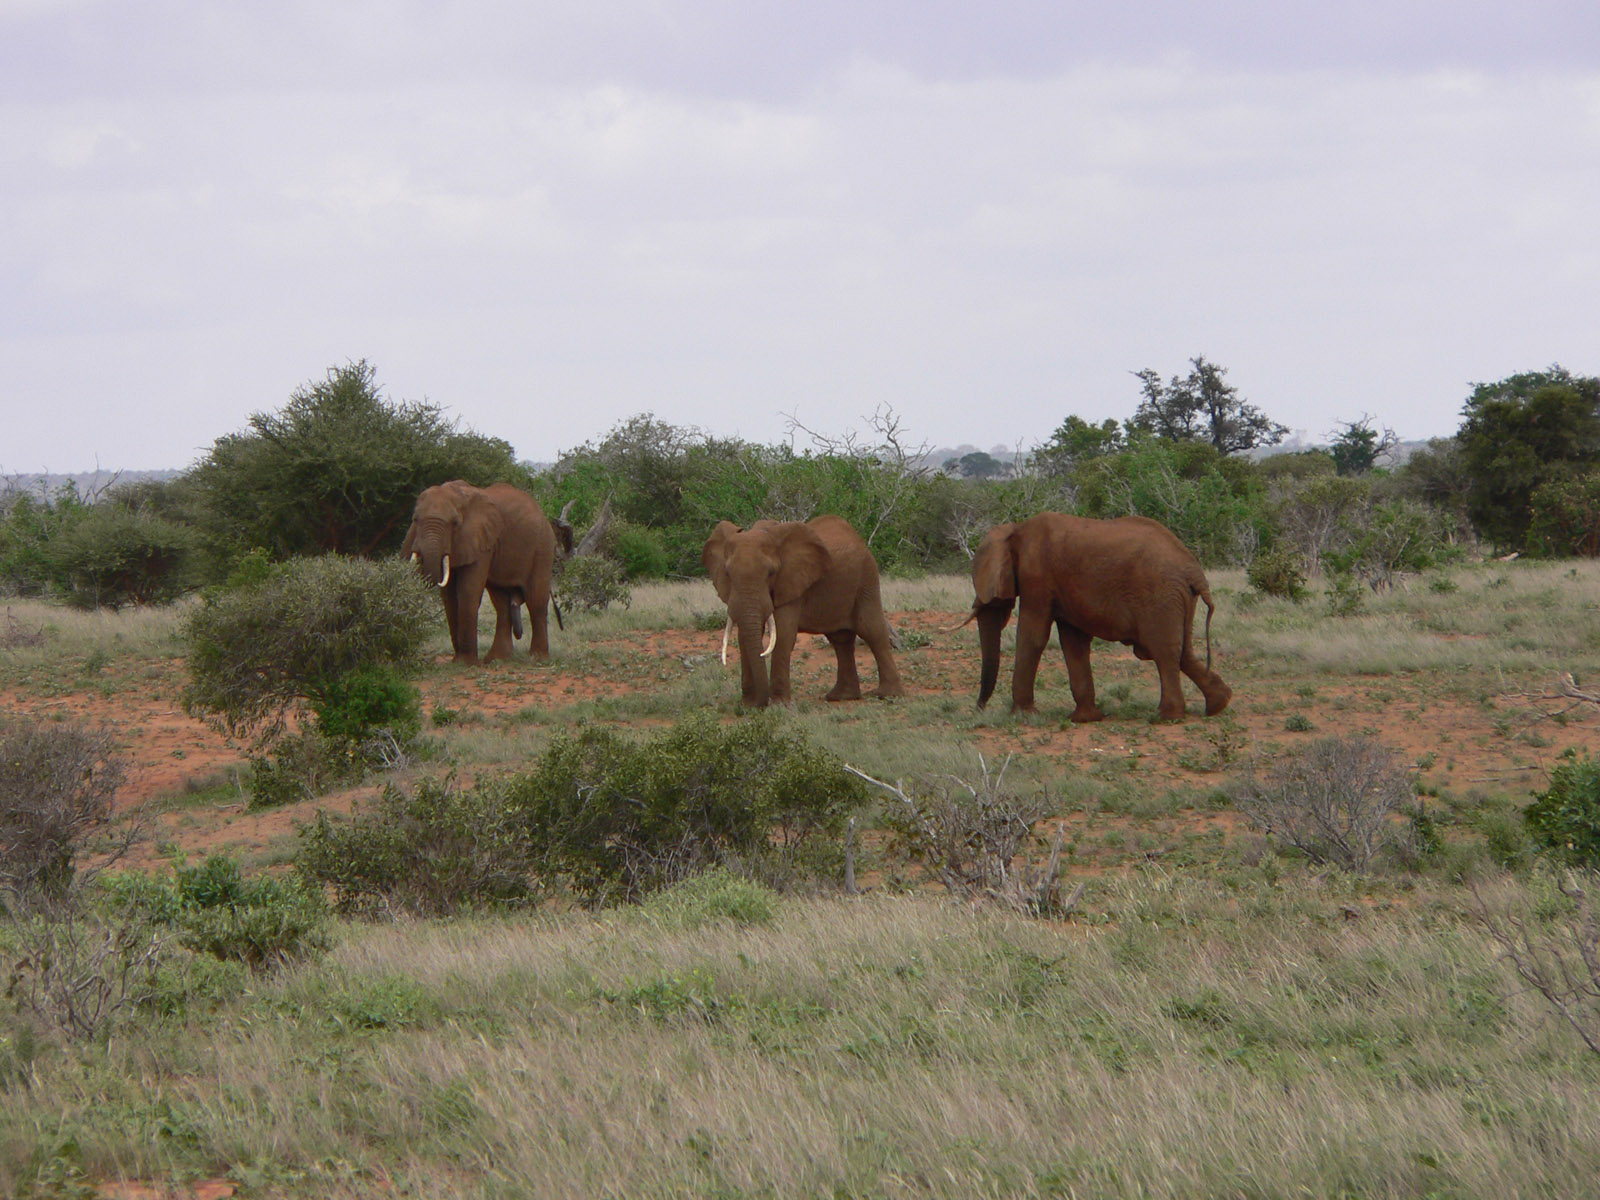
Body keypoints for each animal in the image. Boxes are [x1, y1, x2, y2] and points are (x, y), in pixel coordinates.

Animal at [400, 480, 576, 668]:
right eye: (415, 520)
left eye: (455, 523)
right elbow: (449, 597)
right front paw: (458, 662)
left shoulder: (481, 542)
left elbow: (468, 592)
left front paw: (467, 663)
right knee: (501, 603)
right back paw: (497, 659)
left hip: (542, 547)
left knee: (535, 599)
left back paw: (537, 658)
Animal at [697, 518, 902, 710]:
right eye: (727, 573)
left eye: (771, 573)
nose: (759, 704)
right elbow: (743, 637)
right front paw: (748, 705)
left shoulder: (792, 583)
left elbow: (783, 635)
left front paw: (780, 705)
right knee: (840, 639)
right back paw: (841, 696)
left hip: (867, 578)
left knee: (871, 630)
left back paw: (886, 695)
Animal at [953, 508, 1228, 723]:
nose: (978, 710)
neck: (1015, 530)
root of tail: (1194, 571)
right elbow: (1073, 642)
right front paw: (1084, 719)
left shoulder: (1036, 577)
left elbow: (1033, 636)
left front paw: (1022, 716)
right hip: (1177, 598)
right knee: (1183, 651)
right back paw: (1218, 704)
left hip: (1160, 595)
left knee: (1163, 650)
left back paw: (1166, 717)